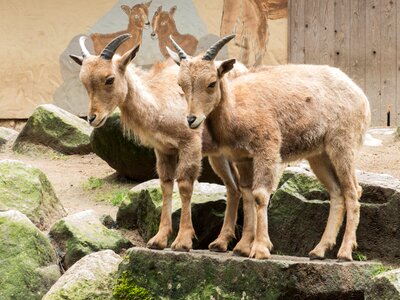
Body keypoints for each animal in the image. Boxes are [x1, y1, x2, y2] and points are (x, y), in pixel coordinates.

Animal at [69, 33, 250, 253]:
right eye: (84, 82)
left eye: (109, 79)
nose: (92, 118)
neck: (159, 105)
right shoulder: (164, 150)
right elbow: (165, 184)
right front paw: (159, 239)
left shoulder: (190, 144)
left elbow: (185, 185)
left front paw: (182, 241)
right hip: (219, 155)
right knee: (234, 187)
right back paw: (221, 243)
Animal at [169, 34, 372, 260]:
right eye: (181, 84)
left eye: (212, 83)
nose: (191, 119)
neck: (236, 111)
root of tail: (361, 96)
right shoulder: (243, 158)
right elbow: (247, 193)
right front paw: (242, 248)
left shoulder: (266, 149)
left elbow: (260, 194)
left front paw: (260, 249)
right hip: (319, 155)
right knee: (337, 192)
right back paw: (319, 250)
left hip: (343, 145)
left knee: (353, 191)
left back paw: (344, 252)